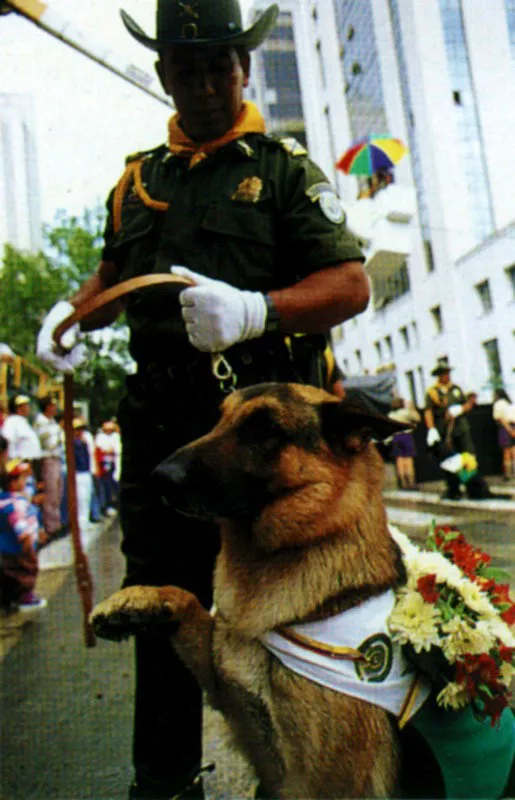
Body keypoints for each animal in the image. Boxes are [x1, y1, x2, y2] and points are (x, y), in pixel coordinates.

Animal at [91, 384, 512, 796]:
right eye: (218, 420)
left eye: (263, 429)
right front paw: (134, 603)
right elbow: (189, 600)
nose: (158, 476)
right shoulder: (239, 707)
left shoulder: (319, 779)